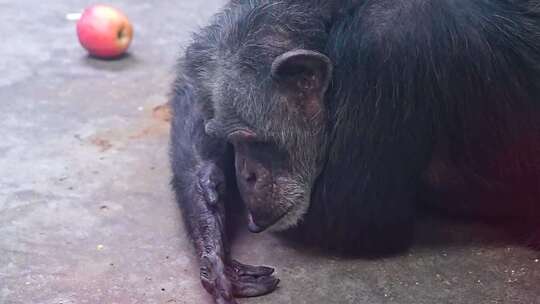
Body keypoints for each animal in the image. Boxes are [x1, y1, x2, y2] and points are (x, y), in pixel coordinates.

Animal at [169, 1, 540, 302]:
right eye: (232, 142)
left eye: (250, 140)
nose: (246, 174)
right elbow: (201, 62)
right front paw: (209, 217)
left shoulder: (385, 48)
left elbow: (348, 215)